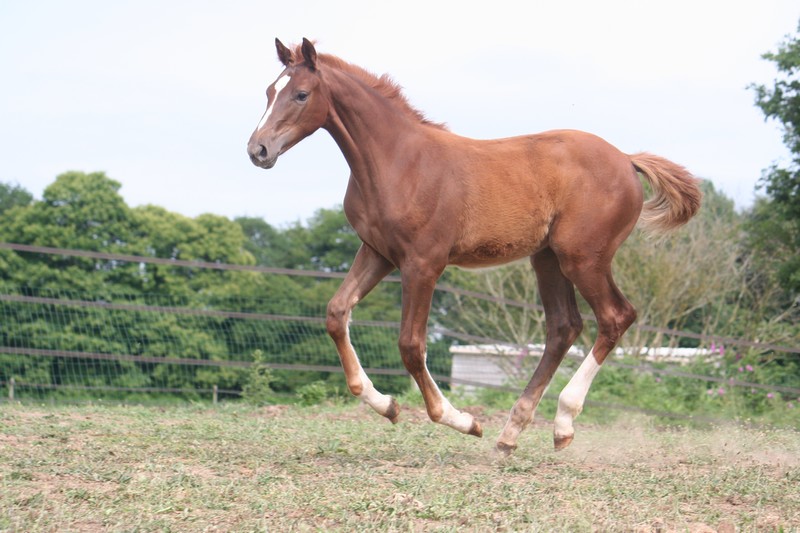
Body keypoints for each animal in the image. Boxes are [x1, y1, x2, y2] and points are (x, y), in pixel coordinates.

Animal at [245, 38, 700, 454]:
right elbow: (337, 313)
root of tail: (626, 159)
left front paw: (460, 419)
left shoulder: (424, 263)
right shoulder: (377, 253)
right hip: (547, 258)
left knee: (615, 317)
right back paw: (511, 433)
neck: (398, 162)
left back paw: (562, 423)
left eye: (301, 94)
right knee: (563, 327)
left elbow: (410, 346)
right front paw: (386, 405)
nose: (257, 149)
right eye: (268, 91)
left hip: (583, 257)